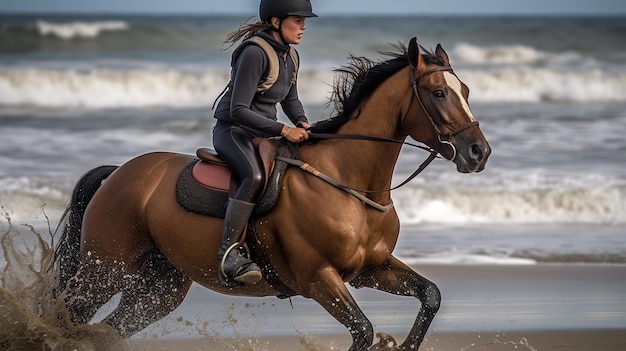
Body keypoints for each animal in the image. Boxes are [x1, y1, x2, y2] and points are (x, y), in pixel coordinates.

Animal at [52, 37, 488, 350]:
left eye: (466, 89)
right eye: (438, 93)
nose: (478, 152)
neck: (350, 184)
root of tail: (119, 173)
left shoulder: (371, 269)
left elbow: (430, 295)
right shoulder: (317, 278)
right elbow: (363, 330)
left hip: (159, 288)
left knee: (109, 328)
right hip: (104, 271)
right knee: (68, 314)